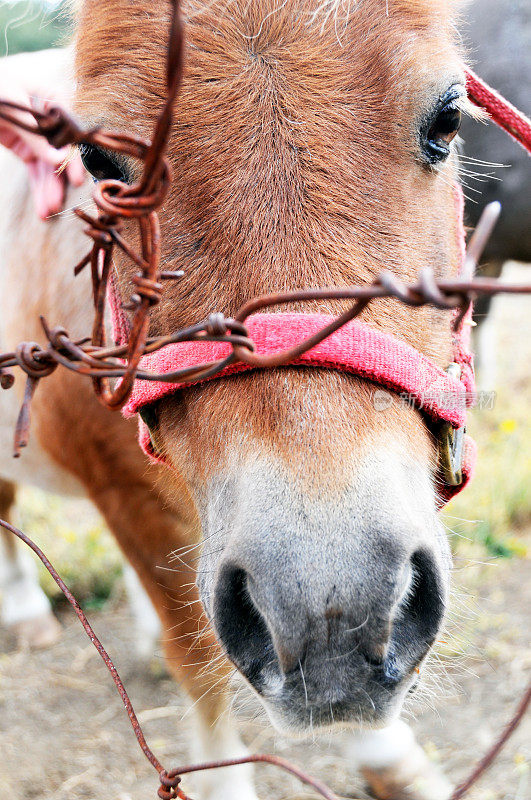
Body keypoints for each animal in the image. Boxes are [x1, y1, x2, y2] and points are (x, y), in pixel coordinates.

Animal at [0, 3, 482, 796]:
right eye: (100, 165)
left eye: (445, 118)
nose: (326, 602)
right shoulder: (121, 498)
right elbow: (197, 659)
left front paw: (390, 757)